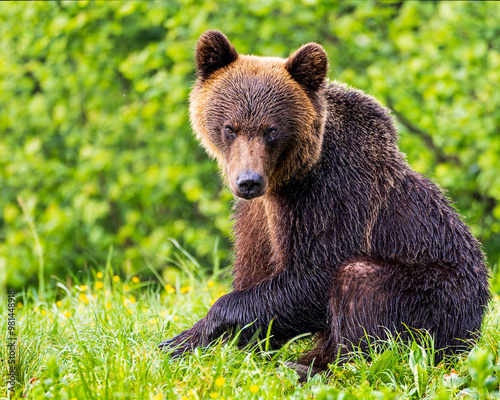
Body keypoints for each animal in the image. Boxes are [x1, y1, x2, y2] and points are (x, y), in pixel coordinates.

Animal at [159, 30, 488, 376]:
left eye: (271, 130)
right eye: (229, 127)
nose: (249, 181)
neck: (286, 178)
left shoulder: (331, 194)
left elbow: (314, 275)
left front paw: (187, 337)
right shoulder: (258, 217)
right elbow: (254, 267)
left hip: (437, 296)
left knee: (362, 286)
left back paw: (316, 367)